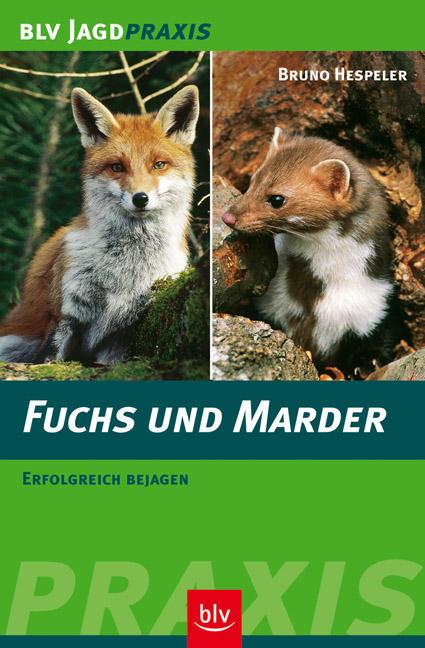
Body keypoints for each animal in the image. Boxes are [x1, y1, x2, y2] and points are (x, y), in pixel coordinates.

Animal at [0, 85, 200, 364]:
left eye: (158, 165)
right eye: (117, 167)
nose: (140, 198)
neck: (127, 268)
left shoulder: (123, 332)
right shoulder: (66, 313)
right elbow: (51, 358)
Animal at [222, 128, 405, 376]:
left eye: (277, 198)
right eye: (252, 181)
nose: (228, 216)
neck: (312, 298)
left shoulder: (376, 305)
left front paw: (367, 364)